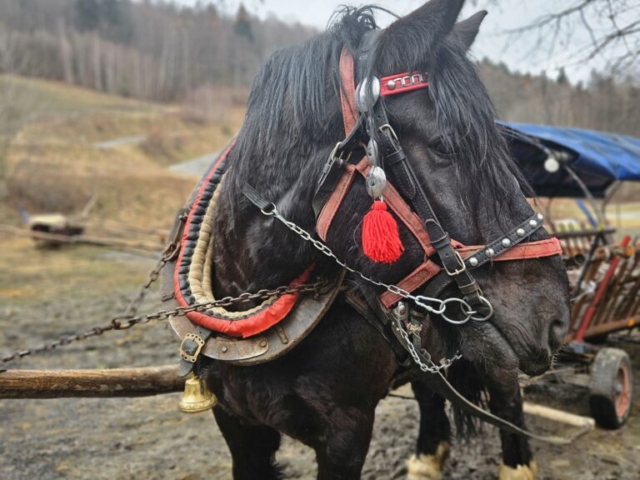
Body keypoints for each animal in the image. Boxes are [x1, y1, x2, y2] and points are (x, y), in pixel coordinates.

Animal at [201, 1, 568, 478]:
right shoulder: (236, 423)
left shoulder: (346, 430)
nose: (556, 317)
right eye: (446, 147)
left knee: (509, 399)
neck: (253, 287)